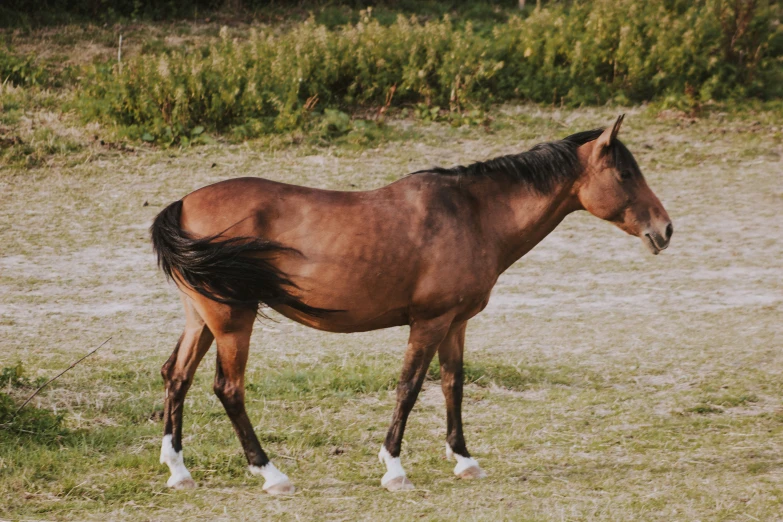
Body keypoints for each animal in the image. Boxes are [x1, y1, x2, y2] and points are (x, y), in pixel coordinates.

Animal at [152, 116, 672, 494]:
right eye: (626, 173)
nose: (665, 229)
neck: (473, 215)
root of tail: (184, 204)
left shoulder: (456, 324)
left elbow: (452, 385)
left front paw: (464, 459)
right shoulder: (429, 322)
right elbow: (409, 388)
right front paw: (394, 468)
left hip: (202, 319)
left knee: (177, 376)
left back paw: (179, 471)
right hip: (232, 322)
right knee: (228, 389)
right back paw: (271, 473)